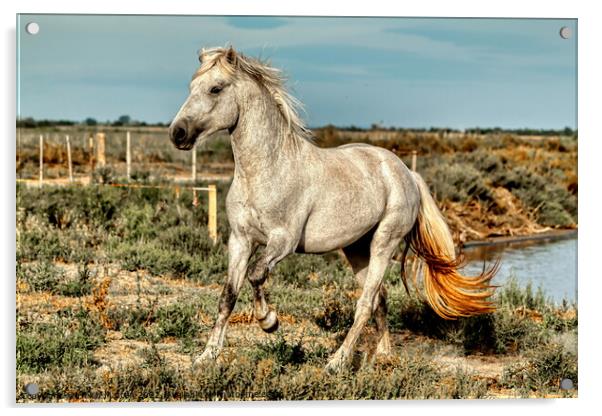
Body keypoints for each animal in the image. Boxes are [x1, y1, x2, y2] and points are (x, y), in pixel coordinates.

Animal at [169, 46, 496, 370]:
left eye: (215, 88)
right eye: (191, 86)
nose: (178, 133)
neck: (266, 169)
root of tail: (406, 172)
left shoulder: (283, 241)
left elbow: (256, 274)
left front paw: (269, 322)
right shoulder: (240, 240)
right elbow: (228, 296)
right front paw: (206, 357)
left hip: (383, 243)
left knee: (365, 303)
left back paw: (337, 362)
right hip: (356, 248)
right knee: (379, 298)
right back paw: (384, 355)